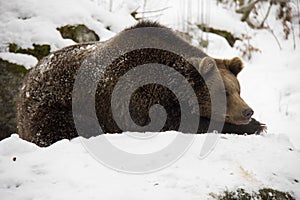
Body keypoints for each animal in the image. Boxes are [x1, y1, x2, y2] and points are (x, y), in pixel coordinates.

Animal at [17, 21, 264, 147]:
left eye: (238, 89)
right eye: (224, 92)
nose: (248, 111)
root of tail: (24, 84)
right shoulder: (137, 97)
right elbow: (174, 123)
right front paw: (257, 126)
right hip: (57, 108)